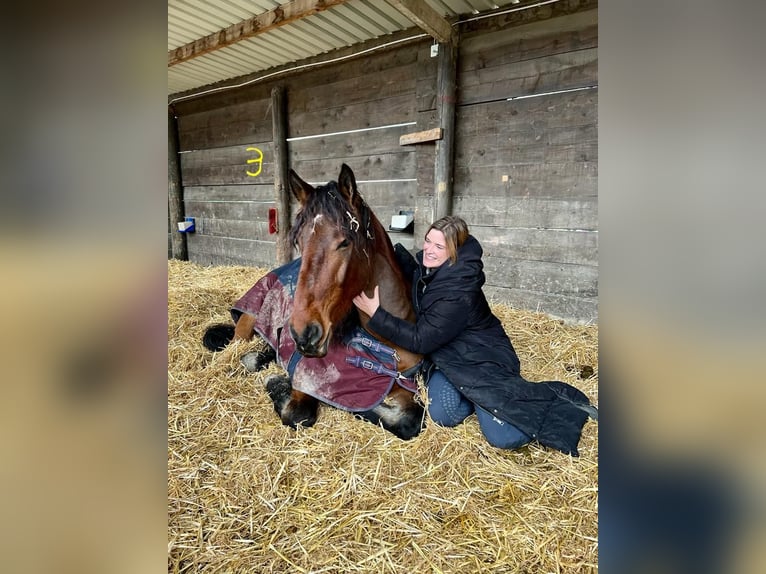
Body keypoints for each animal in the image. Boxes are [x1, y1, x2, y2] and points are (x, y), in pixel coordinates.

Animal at [202, 164, 426, 444]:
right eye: (299, 241)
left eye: (345, 241)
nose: (304, 333)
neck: (386, 343)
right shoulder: (306, 376)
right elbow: (297, 414)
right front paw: (277, 384)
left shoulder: (401, 385)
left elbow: (410, 419)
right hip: (246, 325)